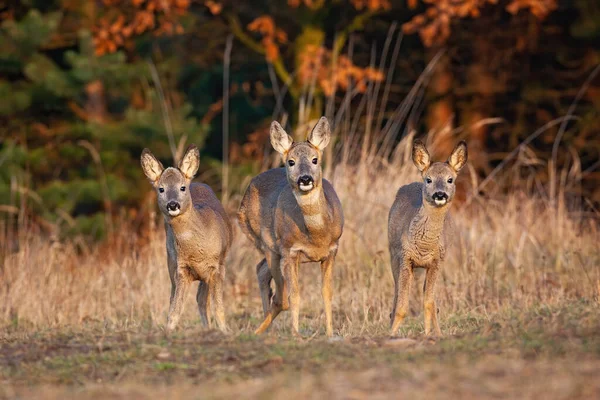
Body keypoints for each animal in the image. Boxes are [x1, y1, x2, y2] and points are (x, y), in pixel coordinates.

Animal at [141, 145, 232, 332]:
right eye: (161, 189)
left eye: (182, 187)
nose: (173, 204)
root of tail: (196, 181)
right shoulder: (181, 269)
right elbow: (175, 309)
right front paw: (168, 330)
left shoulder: (218, 267)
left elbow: (218, 308)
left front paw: (225, 331)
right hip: (170, 262)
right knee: (183, 298)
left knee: (202, 300)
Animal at [238, 116, 344, 338]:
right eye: (291, 162)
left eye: (315, 159)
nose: (305, 179)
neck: (317, 236)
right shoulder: (290, 251)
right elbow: (294, 295)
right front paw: (295, 334)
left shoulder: (332, 251)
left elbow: (327, 293)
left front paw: (330, 333)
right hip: (265, 242)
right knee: (278, 293)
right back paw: (262, 328)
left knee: (262, 270)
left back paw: (265, 328)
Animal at [390, 139, 468, 336]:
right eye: (429, 179)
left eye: (450, 179)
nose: (440, 194)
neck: (424, 246)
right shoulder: (405, 257)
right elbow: (402, 306)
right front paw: (390, 334)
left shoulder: (436, 261)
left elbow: (429, 303)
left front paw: (430, 335)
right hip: (392, 253)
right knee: (396, 294)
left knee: (431, 301)